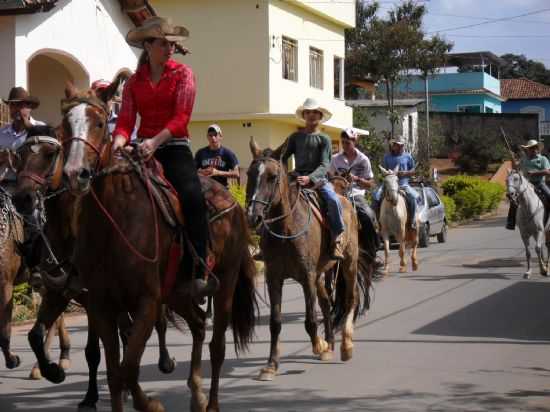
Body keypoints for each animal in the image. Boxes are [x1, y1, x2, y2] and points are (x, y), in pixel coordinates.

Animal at [59, 83, 258, 412]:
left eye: (99, 123)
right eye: (65, 123)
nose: (75, 174)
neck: (114, 221)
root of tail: (234, 204)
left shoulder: (147, 302)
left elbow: (128, 368)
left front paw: (151, 404)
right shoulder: (101, 305)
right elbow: (115, 373)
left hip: (225, 282)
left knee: (217, 346)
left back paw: (211, 403)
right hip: (177, 291)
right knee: (199, 323)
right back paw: (196, 394)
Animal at [247, 139, 370, 384]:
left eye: (272, 177)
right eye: (249, 174)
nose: (253, 217)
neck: (286, 228)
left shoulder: (306, 277)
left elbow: (310, 320)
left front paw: (318, 345)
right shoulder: (274, 278)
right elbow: (275, 322)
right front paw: (271, 366)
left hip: (347, 264)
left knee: (350, 299)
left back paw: (345, 346)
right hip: (322, 274)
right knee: (326, 304)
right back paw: (330, 344)